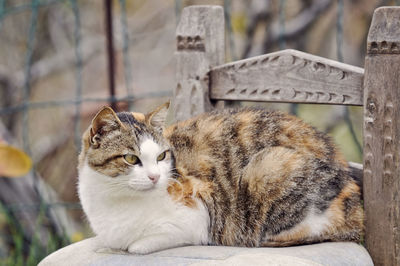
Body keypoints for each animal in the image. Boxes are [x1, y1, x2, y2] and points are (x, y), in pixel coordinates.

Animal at [77, 101, 362, 254]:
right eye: (131, 158)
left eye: (161, 156)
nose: (155, 177)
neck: (115, 201)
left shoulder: (197, 217)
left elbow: (137, 246)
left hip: (267, 167)